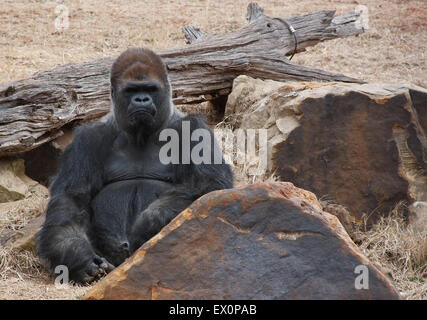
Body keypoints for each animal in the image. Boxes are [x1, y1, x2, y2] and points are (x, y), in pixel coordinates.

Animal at [36, 47, 234, 282]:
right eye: (131, 90)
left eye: (150, 89)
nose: (141, 99)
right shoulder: (86, 138)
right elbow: (71, 200)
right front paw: (77, 255)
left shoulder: (194, 129)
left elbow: (209, 187)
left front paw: (149, 223)